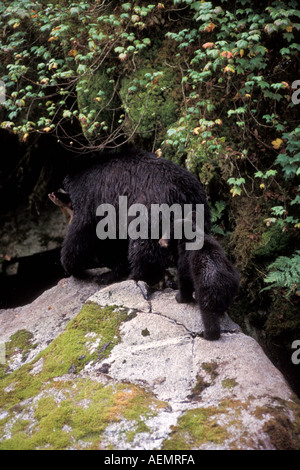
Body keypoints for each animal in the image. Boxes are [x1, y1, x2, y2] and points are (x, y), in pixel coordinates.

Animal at [57, 149, 210, 284]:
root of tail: (181, 192)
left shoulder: (90, 197)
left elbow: (82, 229)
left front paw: (71, 266)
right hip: (198, 209)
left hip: (151, 209)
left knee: (144, 245)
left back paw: (137, 276)